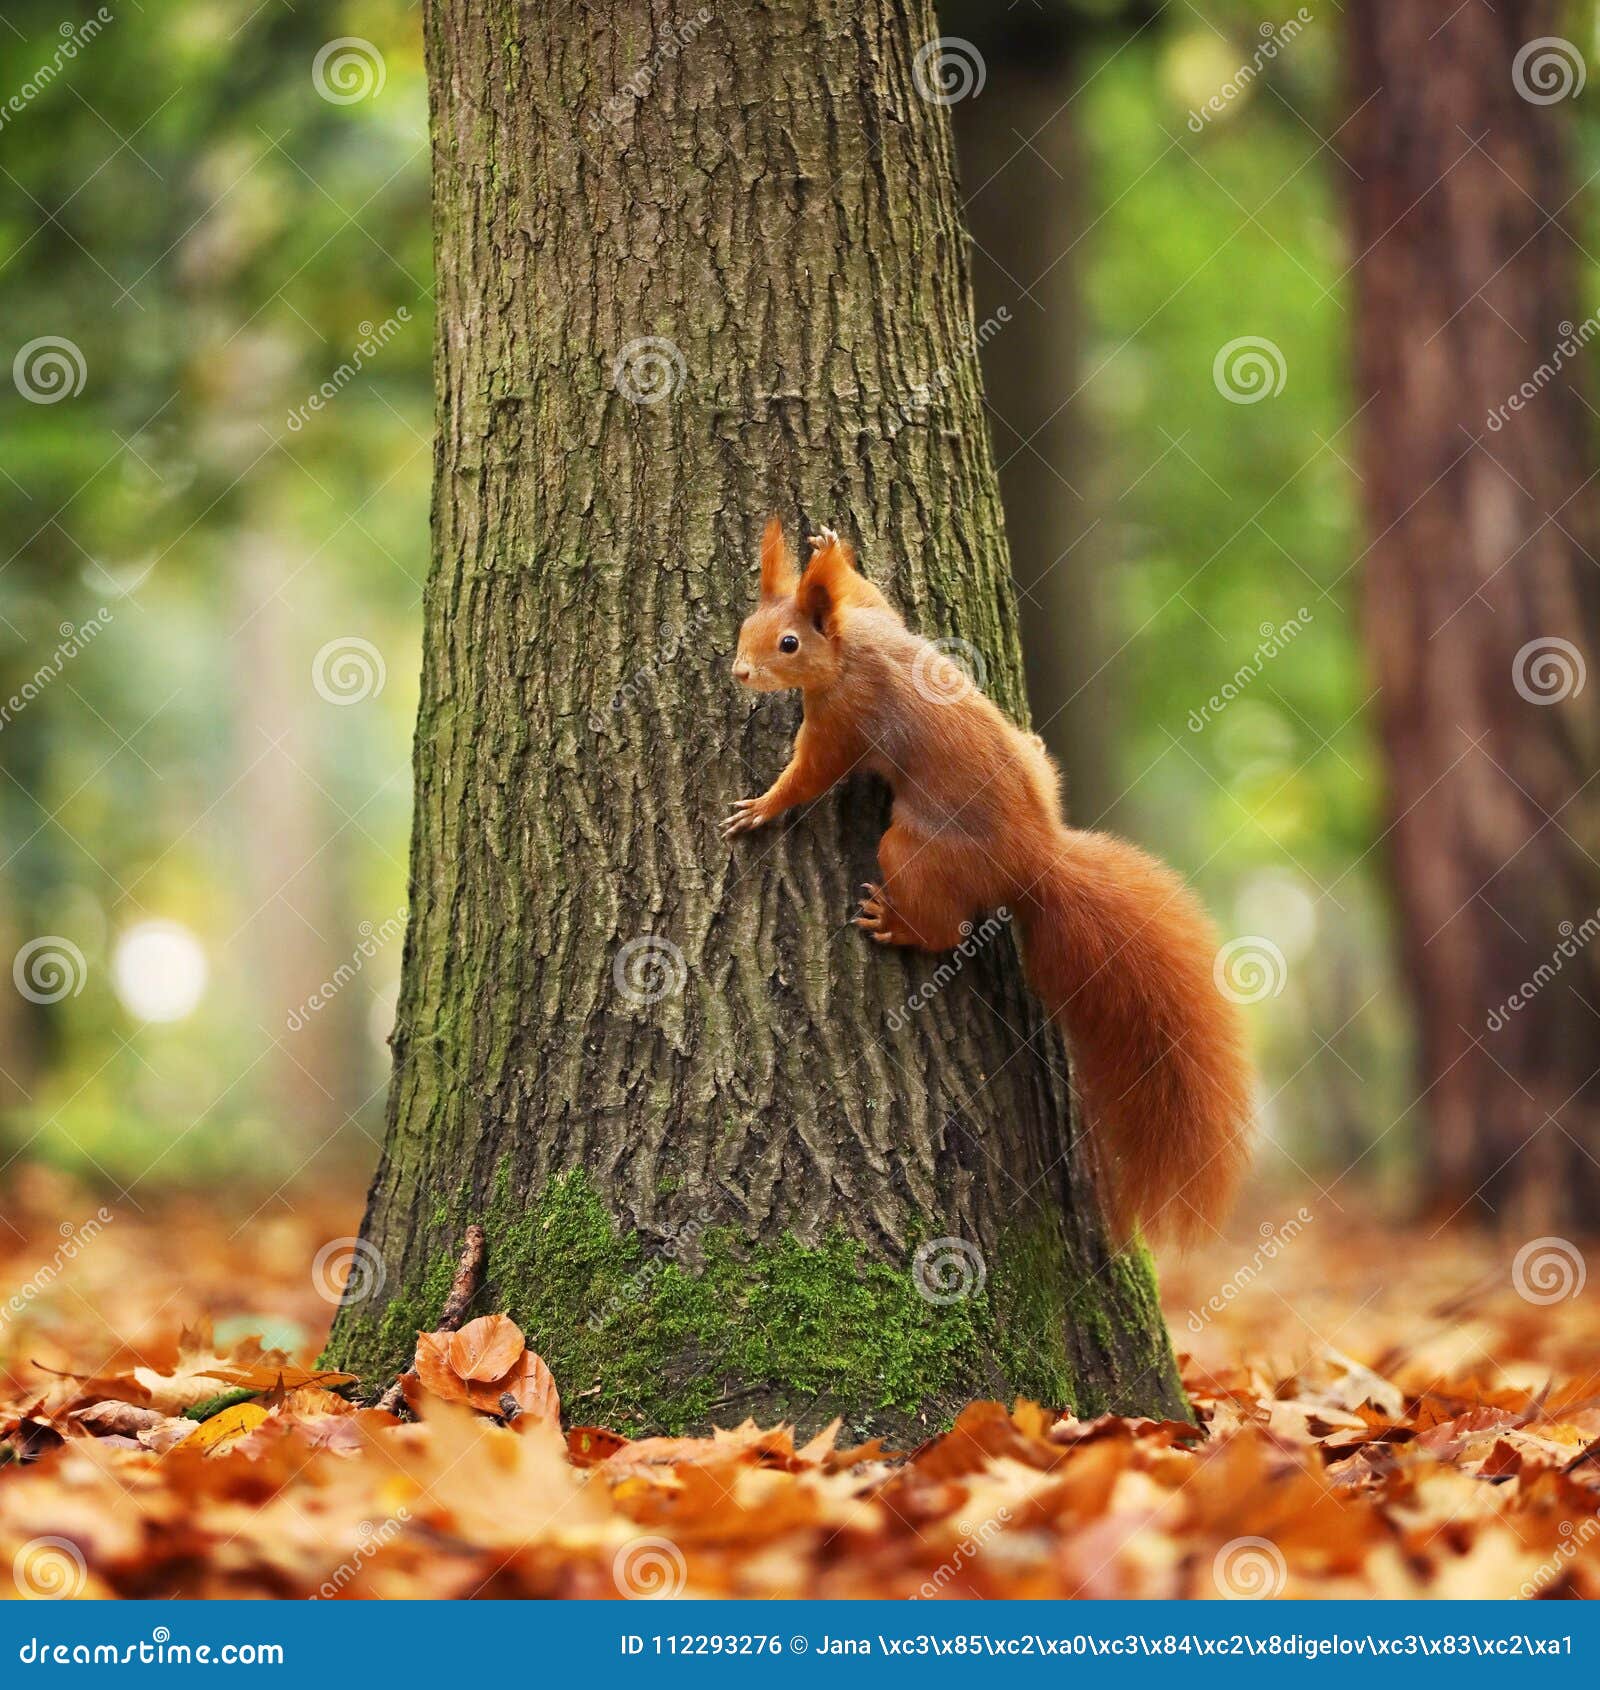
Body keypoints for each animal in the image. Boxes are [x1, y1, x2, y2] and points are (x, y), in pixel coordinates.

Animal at [722, 518, 1254, 1246]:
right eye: (747, 624)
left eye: (788, 644)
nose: (739, 671)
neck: (849, 650)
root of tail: (1038, 860)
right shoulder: (875, 618)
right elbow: (877, 596)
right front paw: (833, 545)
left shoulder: (843, 719)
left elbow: (811, 775)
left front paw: (763, 807)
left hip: (912, 852)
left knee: (946, 931)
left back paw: (896, 926)